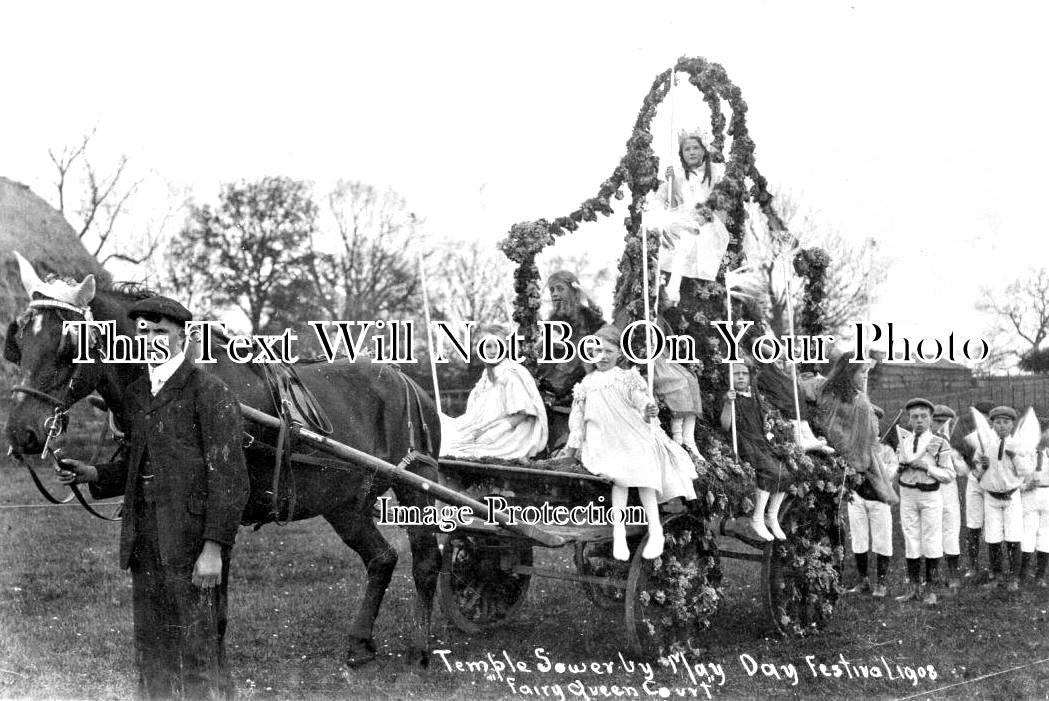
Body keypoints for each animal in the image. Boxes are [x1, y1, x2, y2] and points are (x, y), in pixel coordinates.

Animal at [2, 257, 442, 667]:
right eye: (18, 342)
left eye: (67, 346)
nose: (21, 433)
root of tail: (406, 381)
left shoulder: (220, 513)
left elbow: (215, 606)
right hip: (344, 501)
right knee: (381, 560)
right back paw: (359, 643)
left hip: (415, 483)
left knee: (426, 560)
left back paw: (420, 647)